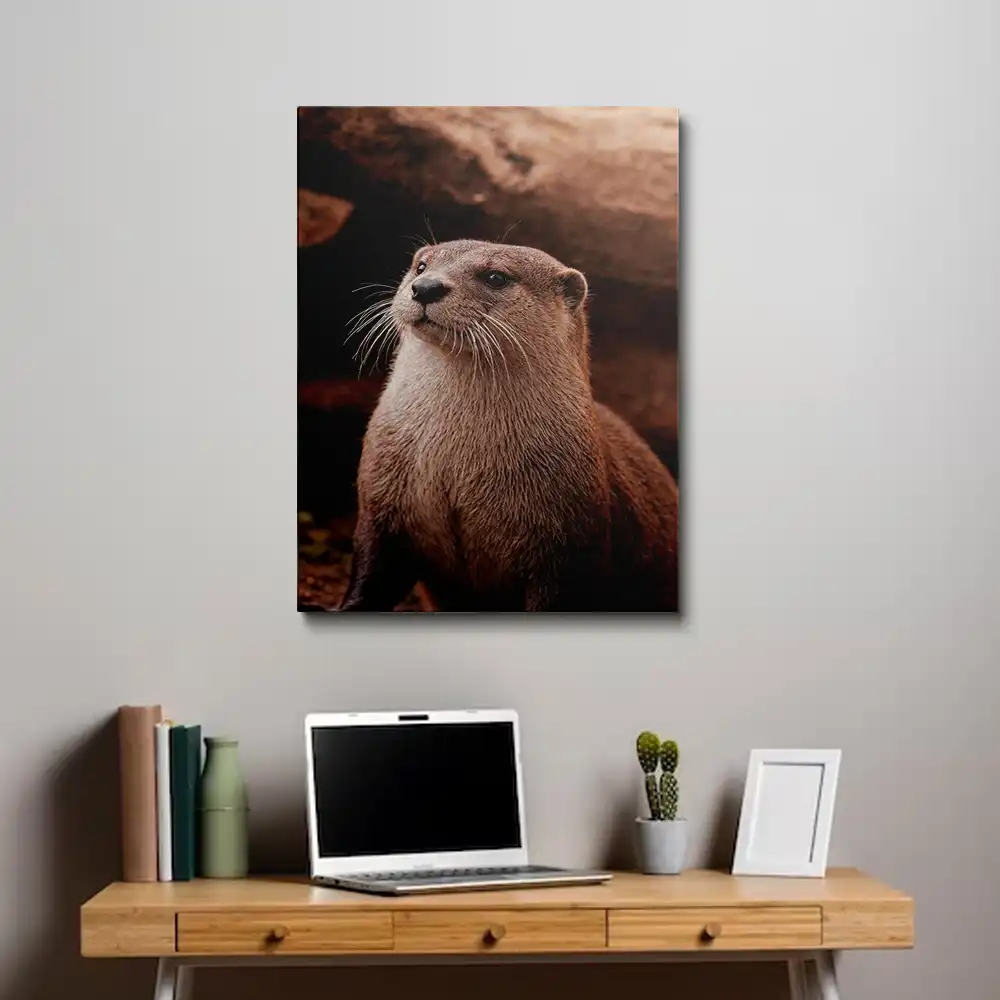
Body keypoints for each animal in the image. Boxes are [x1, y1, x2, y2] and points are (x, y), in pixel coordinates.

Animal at [339, 240, 679, 612]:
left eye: (495, 277)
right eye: (422, 266)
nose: (425, 287)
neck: (456, 460)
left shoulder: (569, 549)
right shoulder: (380, 504)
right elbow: (372, 572)